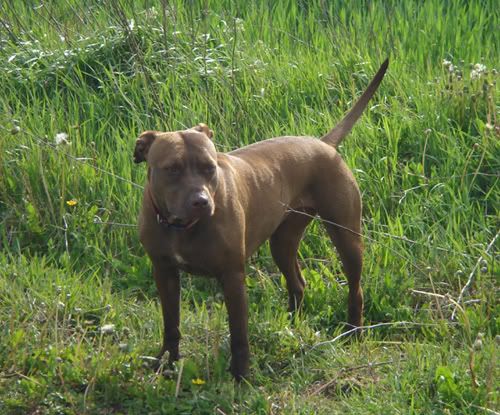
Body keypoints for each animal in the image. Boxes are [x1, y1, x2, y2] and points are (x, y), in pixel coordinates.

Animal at [134, 59, 388, 381]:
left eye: (209, 167)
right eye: (172, 169)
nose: (201, 202)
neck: (181, 227)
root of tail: (323, 144)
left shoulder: (232, 276)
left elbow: (239, 333)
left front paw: (241, 375)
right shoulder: (164, 272)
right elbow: (171, 324)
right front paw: (167, 362)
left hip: (346, 237)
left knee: (355, 288)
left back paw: (354, 331)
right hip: (282, 242)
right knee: (297, 283)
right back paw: (291, 326)